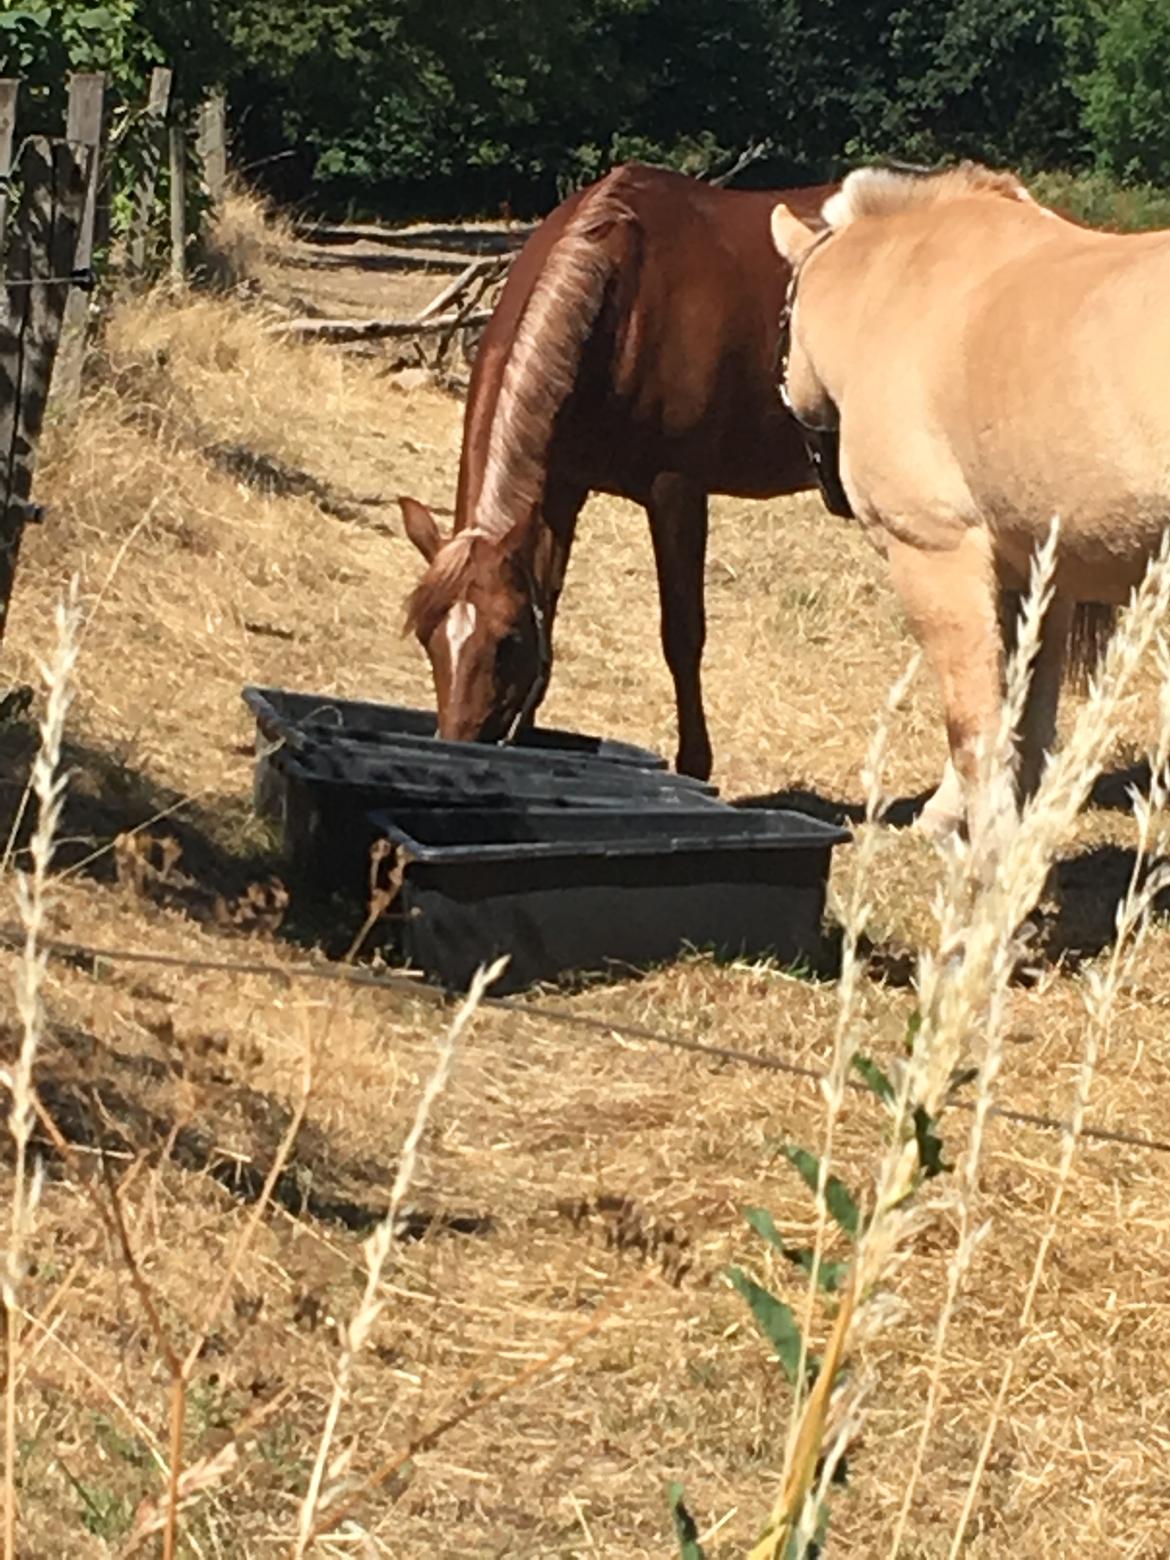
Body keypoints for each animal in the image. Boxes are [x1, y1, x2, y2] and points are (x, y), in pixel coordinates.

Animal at [402, 159, 836, 780]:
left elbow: (682, 634)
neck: (623, 304)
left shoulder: (677, 492)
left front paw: (694, 766)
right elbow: (550, 604)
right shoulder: (559, 490)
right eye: (426, 635)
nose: (458, 744)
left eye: (507, 640)